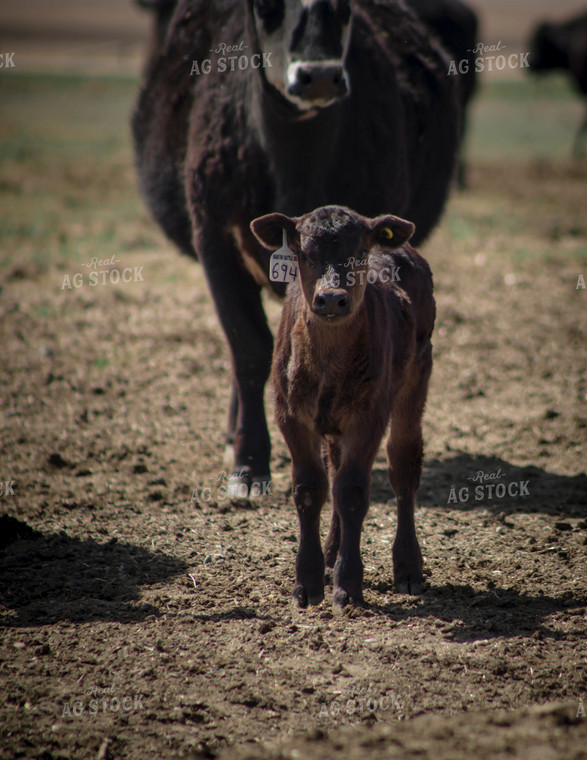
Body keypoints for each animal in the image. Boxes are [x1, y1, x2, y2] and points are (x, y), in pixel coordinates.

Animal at [131, 0, 462, 496]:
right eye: (267, 8)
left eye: (343, 10)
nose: (319, 76)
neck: (295, 160)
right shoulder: (214, 243)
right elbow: (249, 349)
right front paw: (249, 464)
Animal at [250, 205, 434, 608]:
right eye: (303, 253)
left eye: (360, 253)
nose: (331, 299)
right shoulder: (289, 414)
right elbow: (311, 488)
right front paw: (308, 582)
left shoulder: (368, 417)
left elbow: (352, 491)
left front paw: (348, 586)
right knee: (334, 469)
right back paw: (331, 557)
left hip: (415, 380)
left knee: (403, 465)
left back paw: (408, 569)